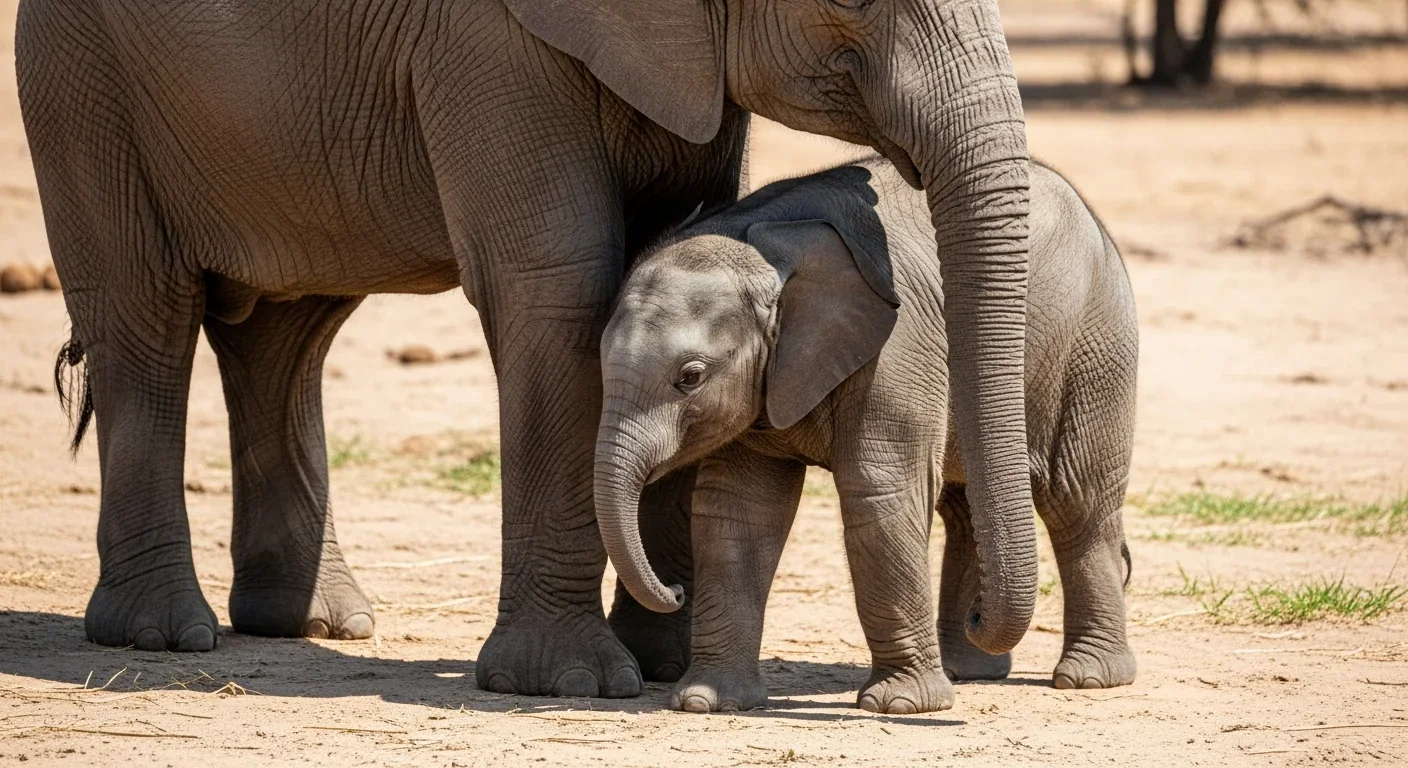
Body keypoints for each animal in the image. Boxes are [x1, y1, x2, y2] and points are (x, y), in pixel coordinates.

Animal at [17, 0, 1036, 698]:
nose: (985, 626)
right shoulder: (488, 41)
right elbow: (558, 280)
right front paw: (577, 682)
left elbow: (683, 225)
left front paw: (661, 661)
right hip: (82, 86)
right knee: (146, 314)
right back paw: (159, 636)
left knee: (287, 330)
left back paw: (311, 622)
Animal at [595, 155, 1138, 713]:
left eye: (690, 376)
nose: (676, 590)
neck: (759, 241)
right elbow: (736, 507)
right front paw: (707, 702)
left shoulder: (897, 347)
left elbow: (879, 492)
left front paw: (902, 706)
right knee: (967, 508)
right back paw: (969, 669)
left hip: (1097, 345)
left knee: (1077, 500)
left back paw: (1089, 678)